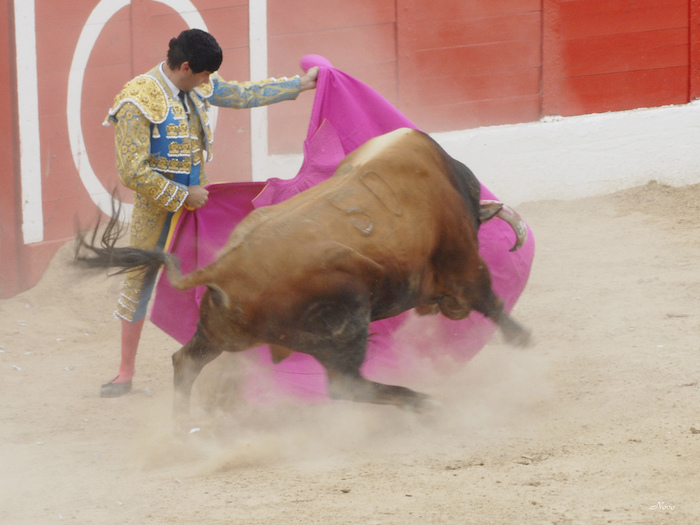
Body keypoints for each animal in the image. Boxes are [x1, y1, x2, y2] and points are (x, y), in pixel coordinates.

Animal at [76, 127, 528, 414]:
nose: (448, 309)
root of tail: (222, 269)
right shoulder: (463, 263)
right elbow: (493, 303)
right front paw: (525, 342)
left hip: (222, 334)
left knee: (185, 362)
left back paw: (183, 428)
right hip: (346, 320)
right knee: (347, 384)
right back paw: (425, 402)